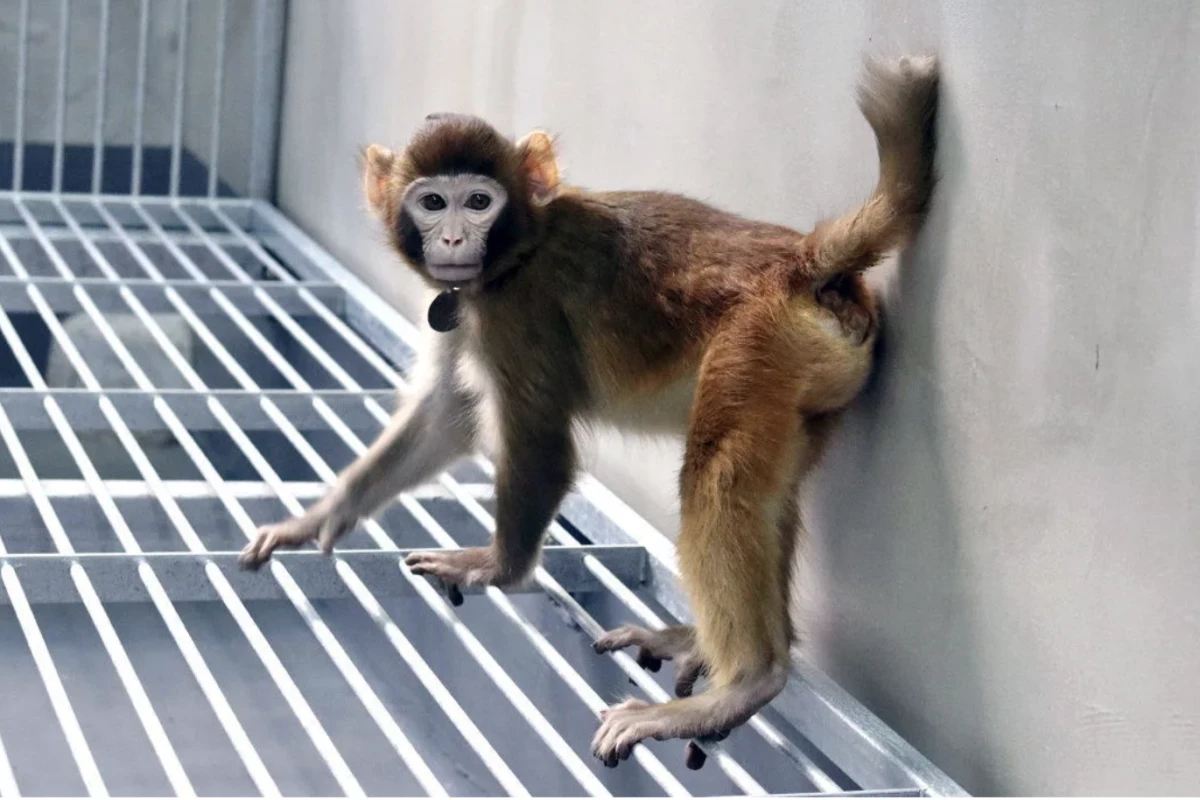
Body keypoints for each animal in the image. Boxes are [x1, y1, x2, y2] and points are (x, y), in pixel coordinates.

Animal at [239, 55, 940, 769]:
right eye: (432, 202)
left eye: (478, 201)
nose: (455, 237)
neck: (520, 248)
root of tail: (803, 261)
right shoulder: (468, 307)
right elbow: (446, 414)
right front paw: (320, 516)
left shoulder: (520, 312)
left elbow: (543, 446)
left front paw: (498, 566)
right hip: (807, 375)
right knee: (766, 487)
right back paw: (709, 647)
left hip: (759, 340)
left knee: (717, 477)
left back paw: (745, 681)